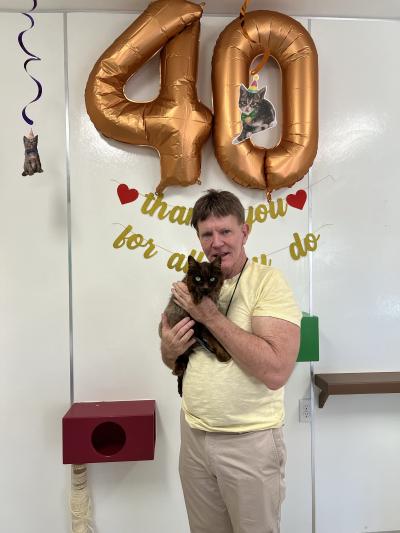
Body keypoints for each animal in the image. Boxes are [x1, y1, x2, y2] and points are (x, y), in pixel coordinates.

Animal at [161, 256, 231, 396]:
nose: (205, 288)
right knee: (181, 357)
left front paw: (223, 355)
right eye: (198, 278)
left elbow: (215, 340)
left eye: (212, 279)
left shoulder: (205, 325)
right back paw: (178, 369)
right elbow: (190, 287)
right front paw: (196, 297)